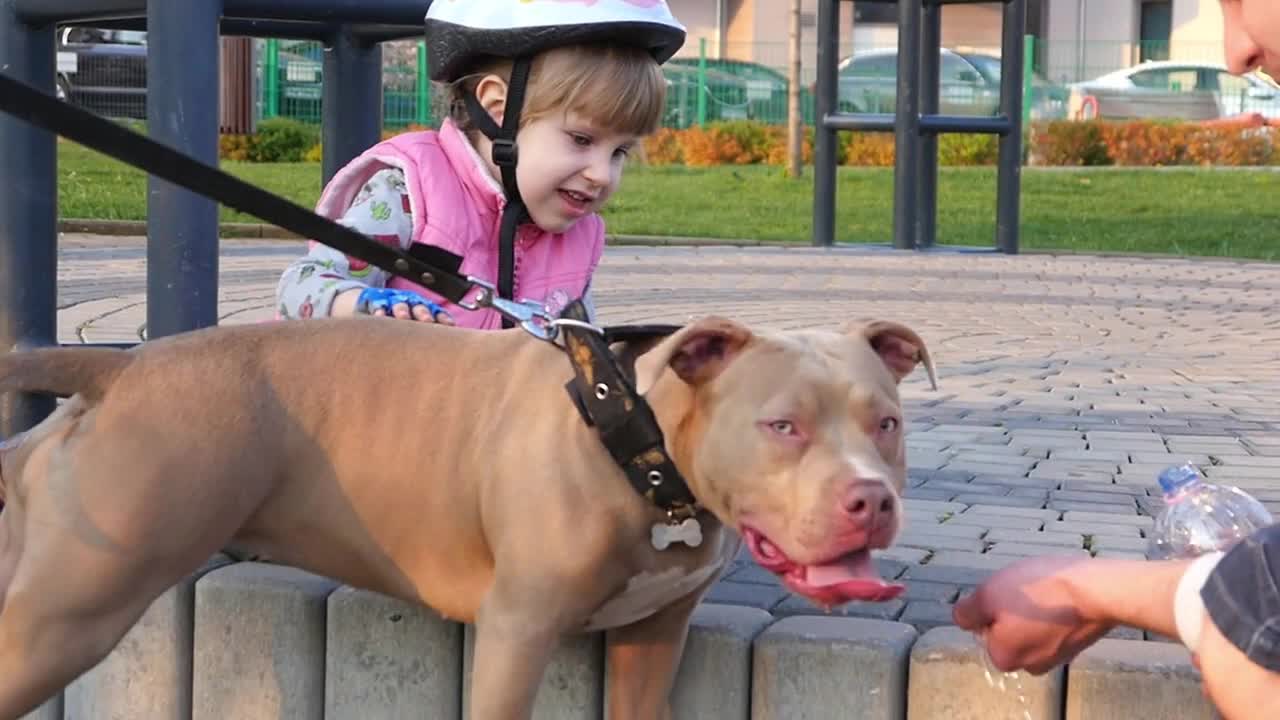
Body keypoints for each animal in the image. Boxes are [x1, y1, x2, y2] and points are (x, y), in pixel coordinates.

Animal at [0, 313, 942, 717]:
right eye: (782, 426)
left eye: (887, 423)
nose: (871, 498)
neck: (631, 431)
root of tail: (122, 368)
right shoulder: (516, 633)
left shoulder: (653, 637)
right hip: (73, 610)